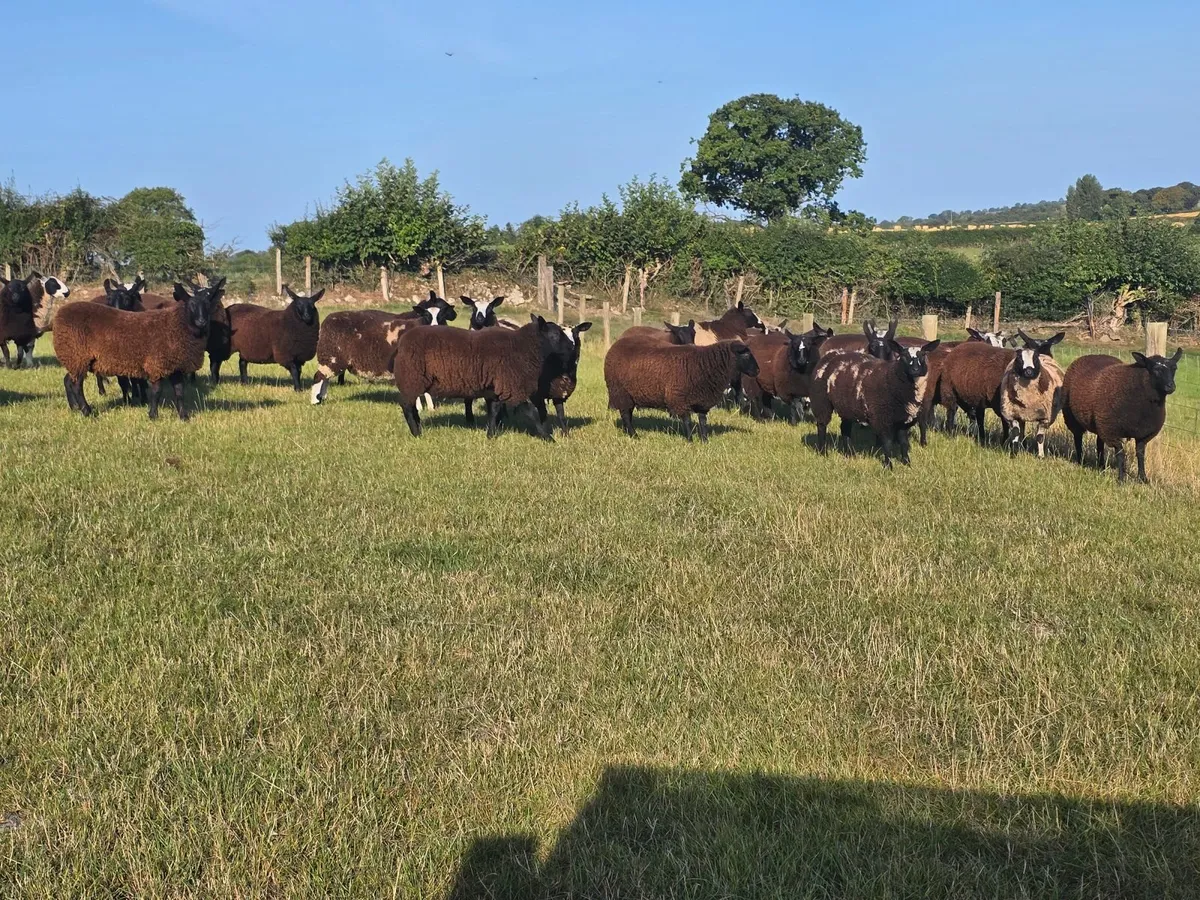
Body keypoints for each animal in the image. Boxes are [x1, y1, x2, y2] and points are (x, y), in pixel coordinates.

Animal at [52, 279, 226, 420]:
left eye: (208, 305)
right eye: (191, 305)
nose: (202, 321)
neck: (178, 325)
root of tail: (59, 314)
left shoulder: (175, 365)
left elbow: (179, 393)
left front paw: (183, 416)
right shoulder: (157, 363)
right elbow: (156, 391)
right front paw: (153, 415)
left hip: (76, 358)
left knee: (68, 380)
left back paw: (74, 408)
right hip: (77, 354)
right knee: (76, 385)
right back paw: (87, 411)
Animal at [391, 313, 577, 440]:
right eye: (555, 335)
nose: (572, 347)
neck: (523, 347)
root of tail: (402, 341)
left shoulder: (498, 387)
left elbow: (493, 411)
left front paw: (491, 435)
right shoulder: (512, 386)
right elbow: (530, 412)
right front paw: (547, 437)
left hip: (413, 380)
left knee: (411, 406)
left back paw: (418, 429)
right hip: (411, 377)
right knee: (406, 406)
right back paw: (416, 433)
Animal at [603, 335, 759, 441]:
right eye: (745, 354)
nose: (758, 371)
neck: (704, 364)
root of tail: (617, 343)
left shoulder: (703, 399)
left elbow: (703, 421)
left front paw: (705, 441)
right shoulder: (680, 398)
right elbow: (688, 421)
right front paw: (690, 440)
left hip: (629, 394)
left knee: (627, 413)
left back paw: (628, 432)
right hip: (620, 391)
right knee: (625, 414)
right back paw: (634, 435)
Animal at [809, 338, 941, 468]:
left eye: (923, 355)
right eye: (903, 356)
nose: (915, 370)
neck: (892, 378)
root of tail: (830, 354)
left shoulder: (903, 419)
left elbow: (904, 442)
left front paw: (907, 463)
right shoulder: (882, 417)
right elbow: (887, 443)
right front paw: (888, 466)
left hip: (847, 406)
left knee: (845, 428)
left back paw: (850, 453)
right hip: (821, 400)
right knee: (822, 425)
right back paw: (823, 452)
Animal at [1062, 348, 1182, 483]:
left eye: (1174, 368)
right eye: (1156, 369)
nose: (1171, 386)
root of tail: (1090, 356)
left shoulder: (1143, 434)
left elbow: (1140, 454)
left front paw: (1143, 478)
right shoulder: (1112, 431)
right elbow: (1120, 454)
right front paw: (1121, 479)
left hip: (1100, 422)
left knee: (1099, 442)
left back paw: (1101, 466)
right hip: (1073, 416)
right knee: (1078, 437)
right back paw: (1081, 461)